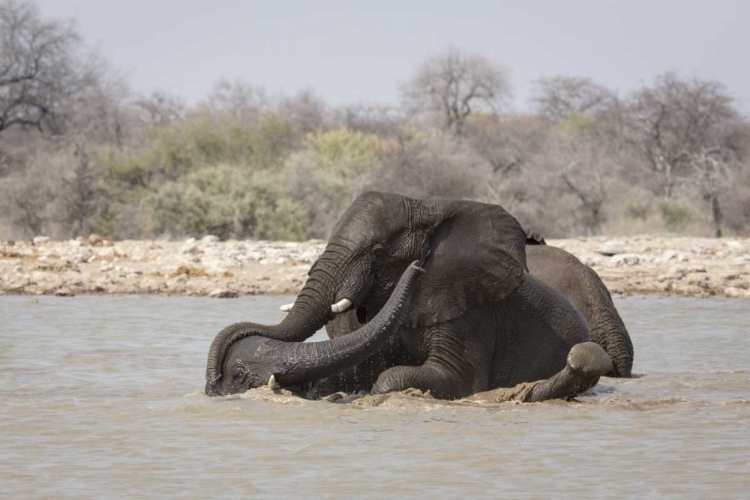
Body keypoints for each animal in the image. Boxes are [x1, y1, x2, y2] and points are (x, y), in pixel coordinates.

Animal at [204, 189, 616, 400]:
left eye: (378, 252)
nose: (214, 384)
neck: (430, 207)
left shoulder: (469, 311)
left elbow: (448, 379)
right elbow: (361, 365)